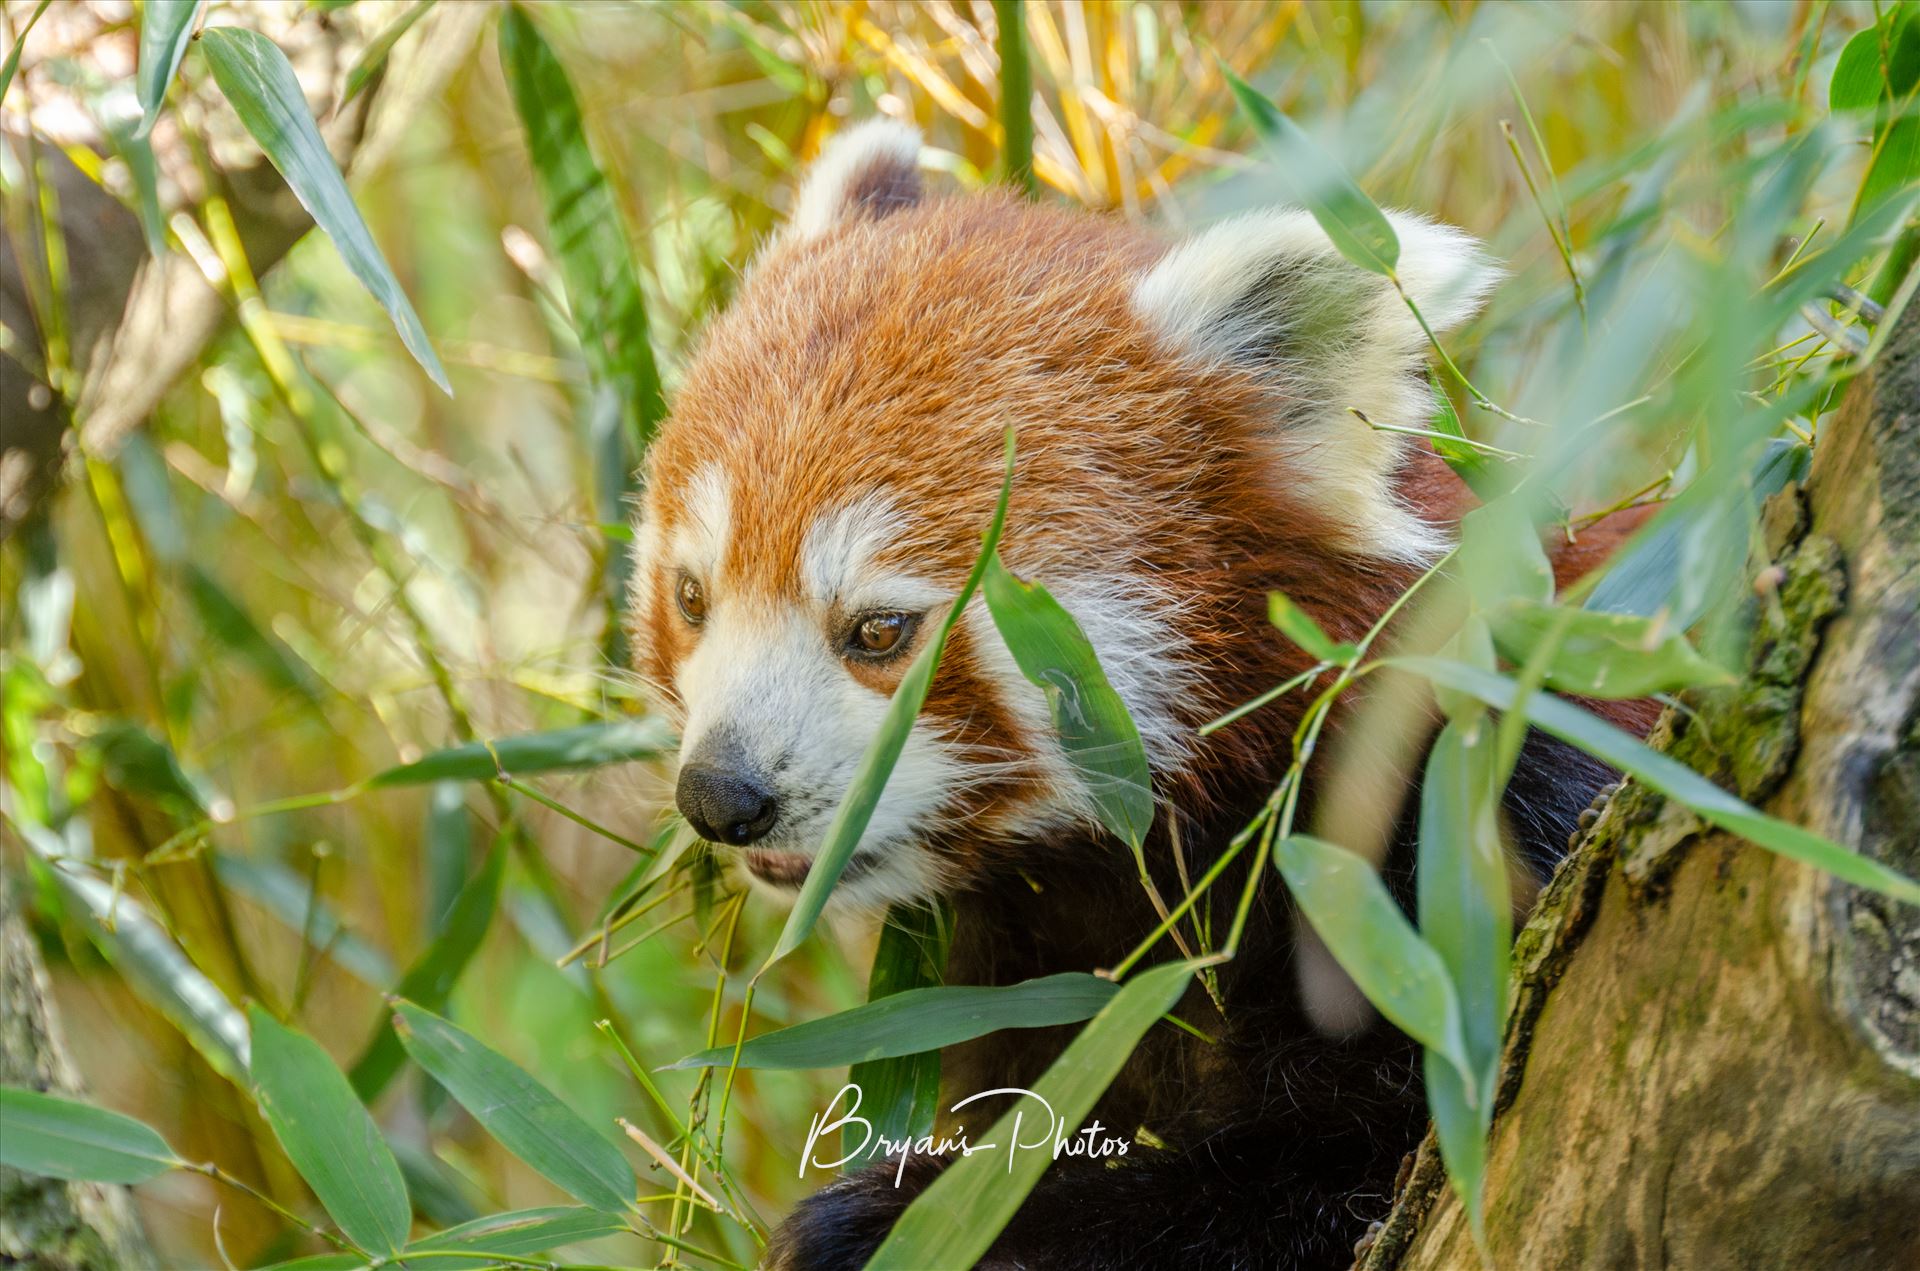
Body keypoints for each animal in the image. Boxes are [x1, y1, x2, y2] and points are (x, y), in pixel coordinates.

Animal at [625, 121, 1651, 1271]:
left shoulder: (1453, 835)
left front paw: (889, 1221)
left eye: (880, 631)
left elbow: (1324, 1175)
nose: (722, 795)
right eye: (692, 596)